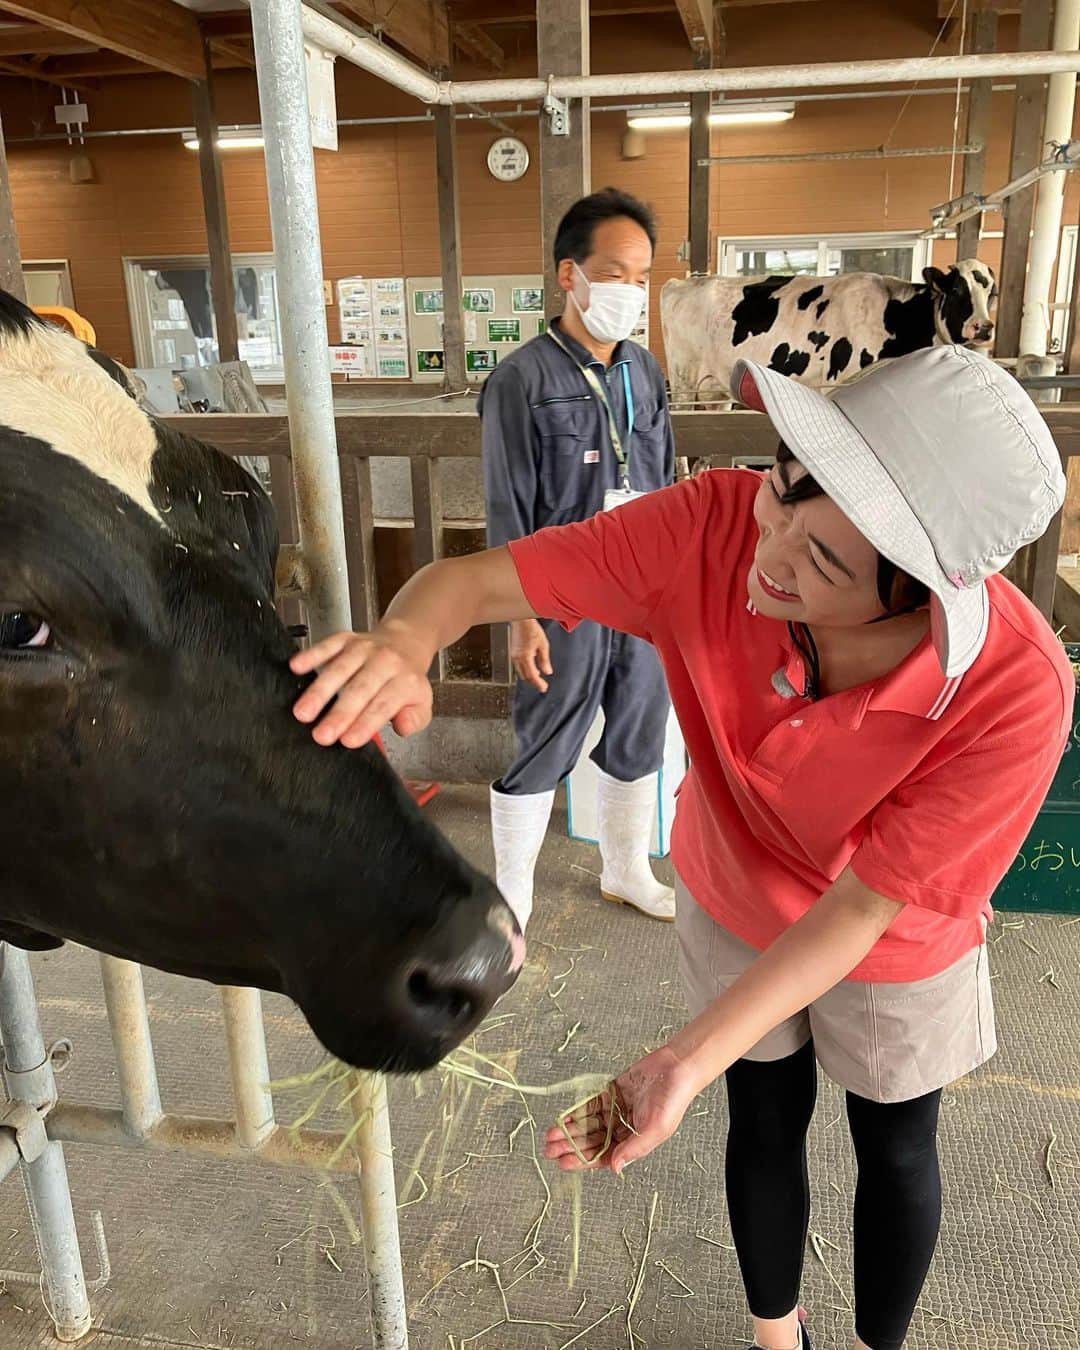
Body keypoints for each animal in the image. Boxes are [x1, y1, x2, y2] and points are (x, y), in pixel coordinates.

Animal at [661, 257, 999, 405]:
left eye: (992, 293)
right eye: (956, 290)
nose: (983, 327)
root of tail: (682, 282)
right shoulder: (837, 382)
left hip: (715, 388)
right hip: (683, 382)